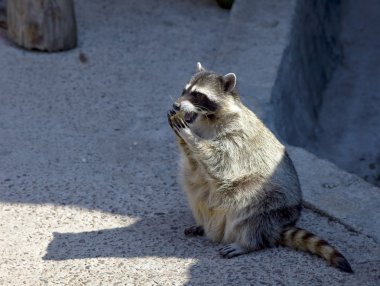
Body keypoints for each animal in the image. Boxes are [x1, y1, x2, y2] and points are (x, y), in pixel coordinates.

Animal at [167, 62, 354, 272]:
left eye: (198, 95)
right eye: (184, 90)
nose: (176, 105)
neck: (207, 118)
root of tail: (277, 226)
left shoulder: (237, 137)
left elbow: (218, 160)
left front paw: (188, 135)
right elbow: (194, 164)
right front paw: (182, 135)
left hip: (270, 204)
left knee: (250, 207)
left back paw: (248, 243)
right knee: (195, 187)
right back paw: (203, 224)